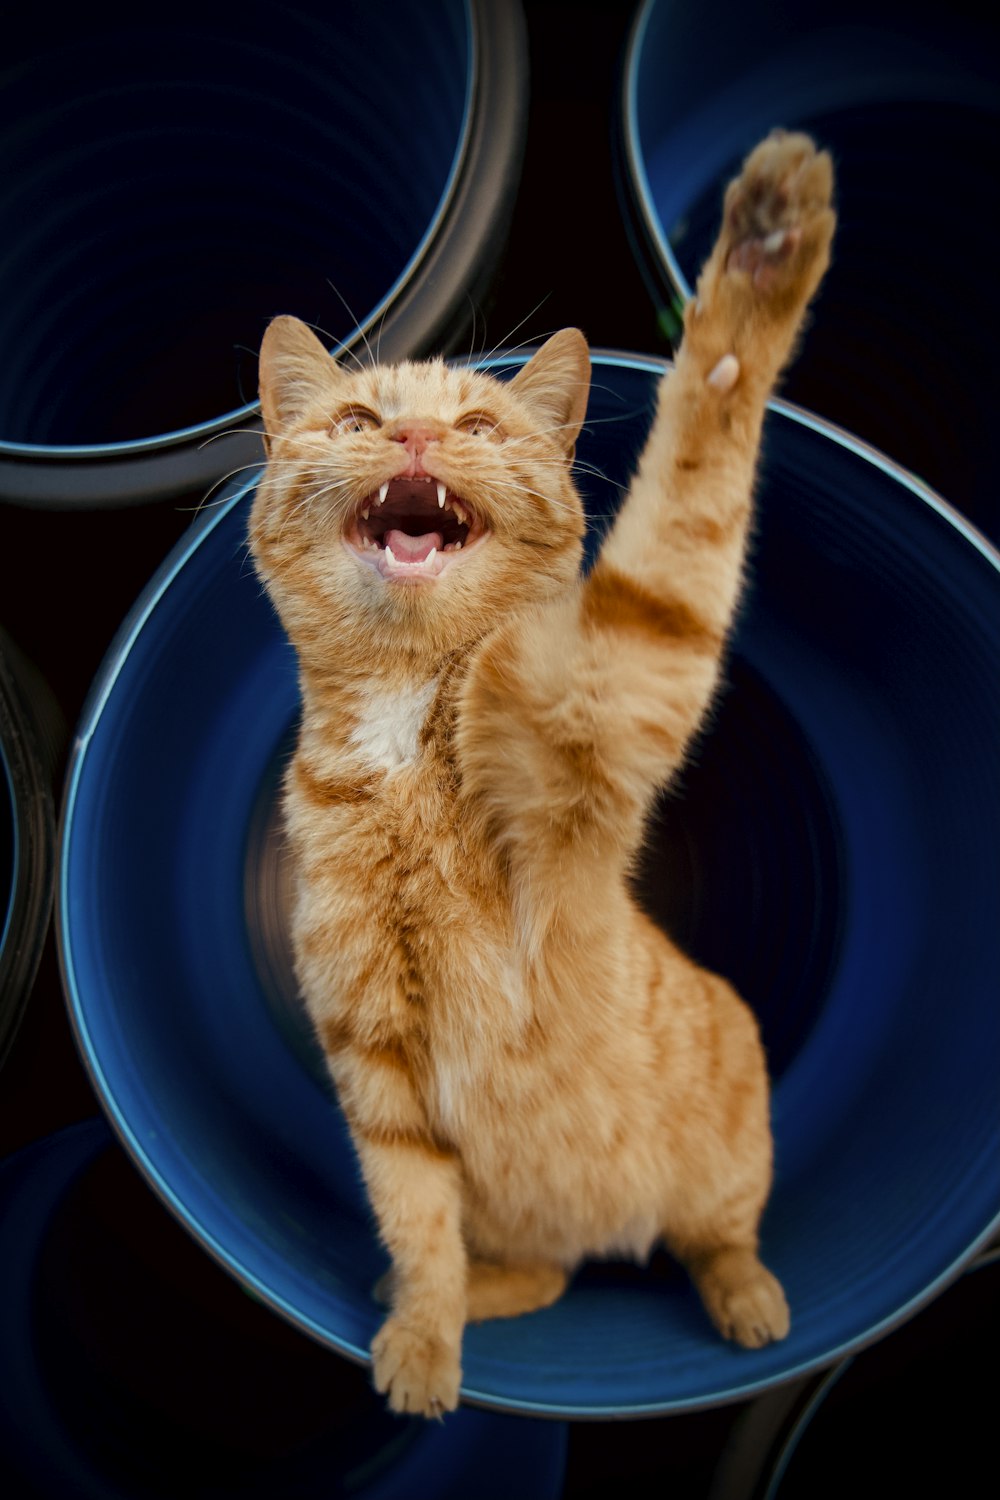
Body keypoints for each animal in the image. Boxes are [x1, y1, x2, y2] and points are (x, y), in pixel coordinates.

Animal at [250, 132, 839, 1416]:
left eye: (475, 426)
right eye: (360, 415)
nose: (415, 442)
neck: (403, 734)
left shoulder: (613, 684)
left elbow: (694, 464)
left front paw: (761, 262)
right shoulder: (377, 1073)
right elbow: (417, 1225)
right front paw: (425, 1342)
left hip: (726, 1145)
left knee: (719, 1237)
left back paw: (750, 1301)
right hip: (533, 1218)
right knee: (544, 1269)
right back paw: (477, 1291)